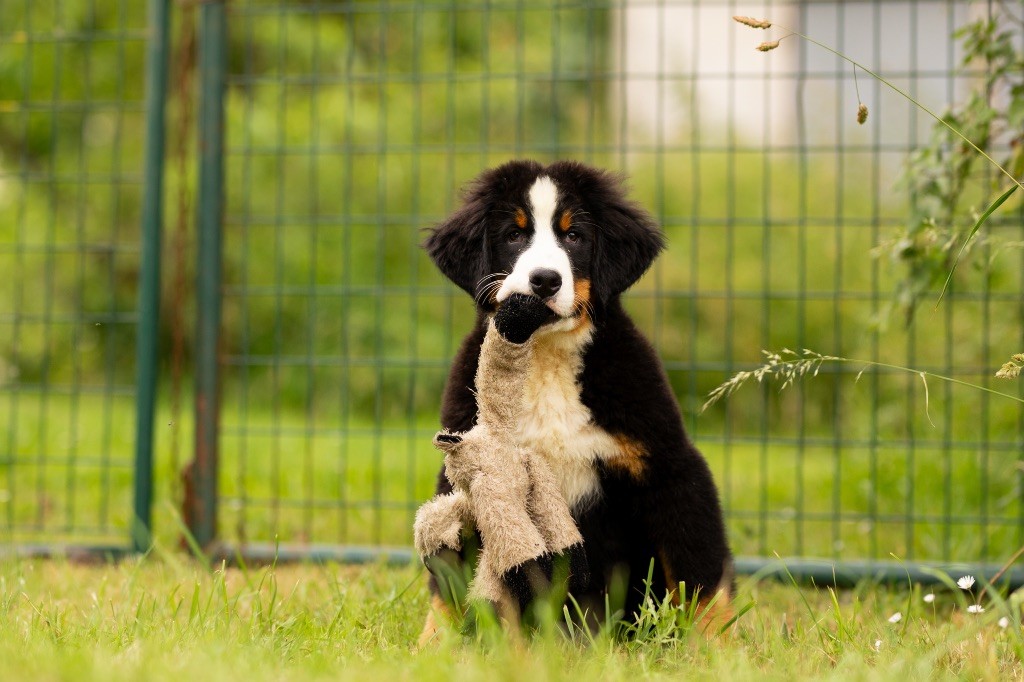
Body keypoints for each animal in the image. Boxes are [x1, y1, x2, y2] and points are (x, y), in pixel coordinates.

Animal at [419, 159, 733, 638]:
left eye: (574, 237)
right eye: (514, 235)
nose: (545, 280)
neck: (546, 359)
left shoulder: (670, 467)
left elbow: (698, 575)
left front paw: (716, 645)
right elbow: (453, 585)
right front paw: (437, 643)